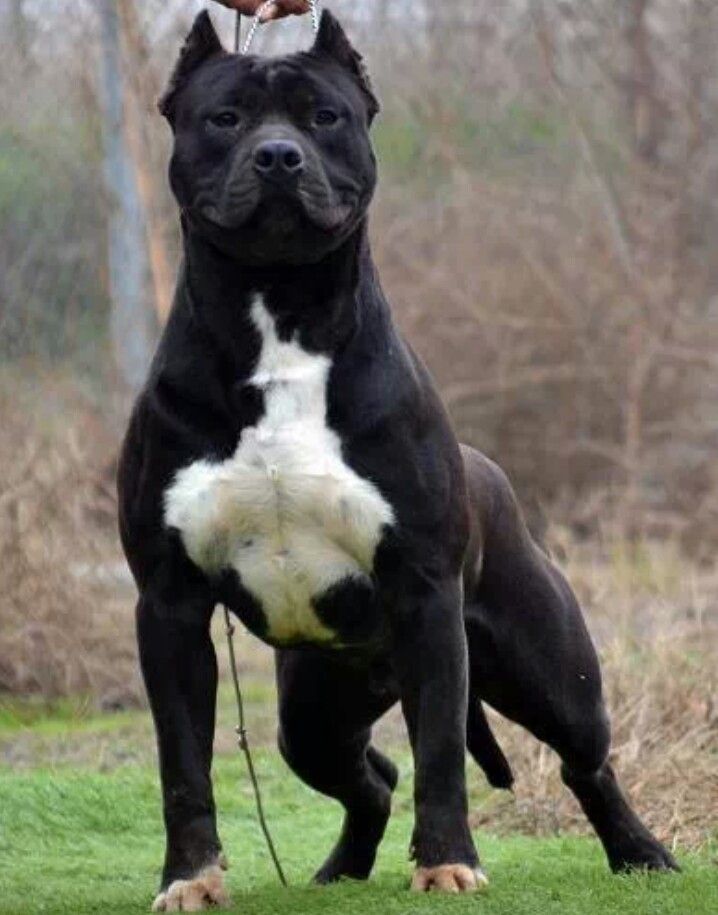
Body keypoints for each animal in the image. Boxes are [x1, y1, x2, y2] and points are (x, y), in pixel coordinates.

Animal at [118, 8, 680, 915]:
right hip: (312, 710)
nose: (279, 156)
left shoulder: (424, 595)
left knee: (584, 760)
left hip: (551, 672)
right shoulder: (168, 607)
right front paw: (189, 877)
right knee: (369, 775)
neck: (279, 317)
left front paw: (448, 862)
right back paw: (339, 868)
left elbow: (442, 752)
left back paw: (642, 852)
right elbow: (182, 764)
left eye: (326, 117)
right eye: (224, 118)